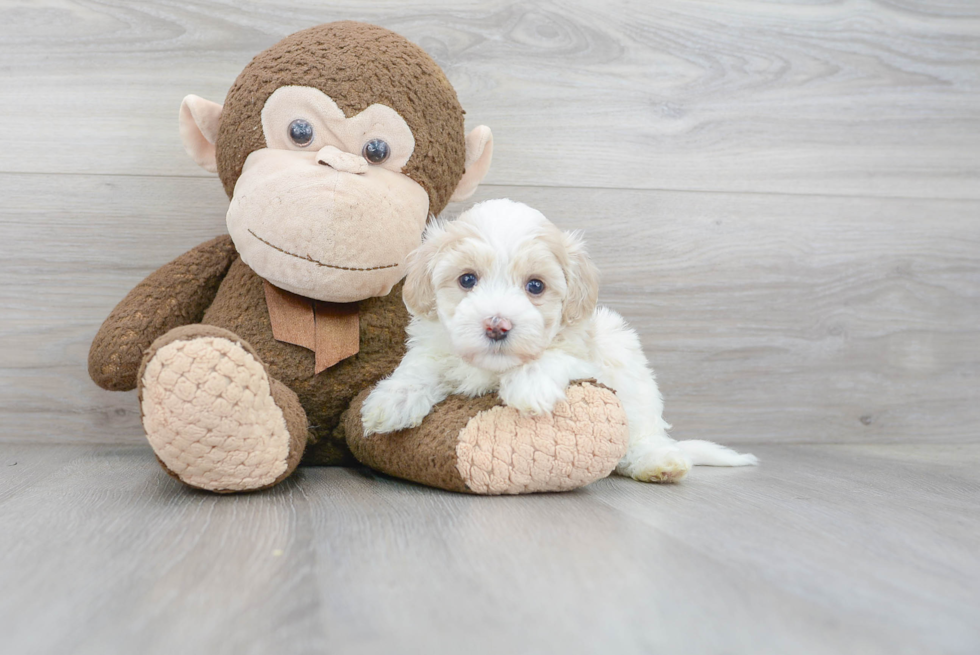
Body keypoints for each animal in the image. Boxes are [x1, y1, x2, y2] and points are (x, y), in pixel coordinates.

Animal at [360, 200, 756, 482]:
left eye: (535, 285)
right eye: (467, 279)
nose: (497, 326)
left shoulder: (585, 354)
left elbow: (552, 356)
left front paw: (529, 385)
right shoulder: (435, 344)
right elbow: (420, 366)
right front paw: (392, 401)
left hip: (629, 364)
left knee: (642, 434)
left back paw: (657, 462)